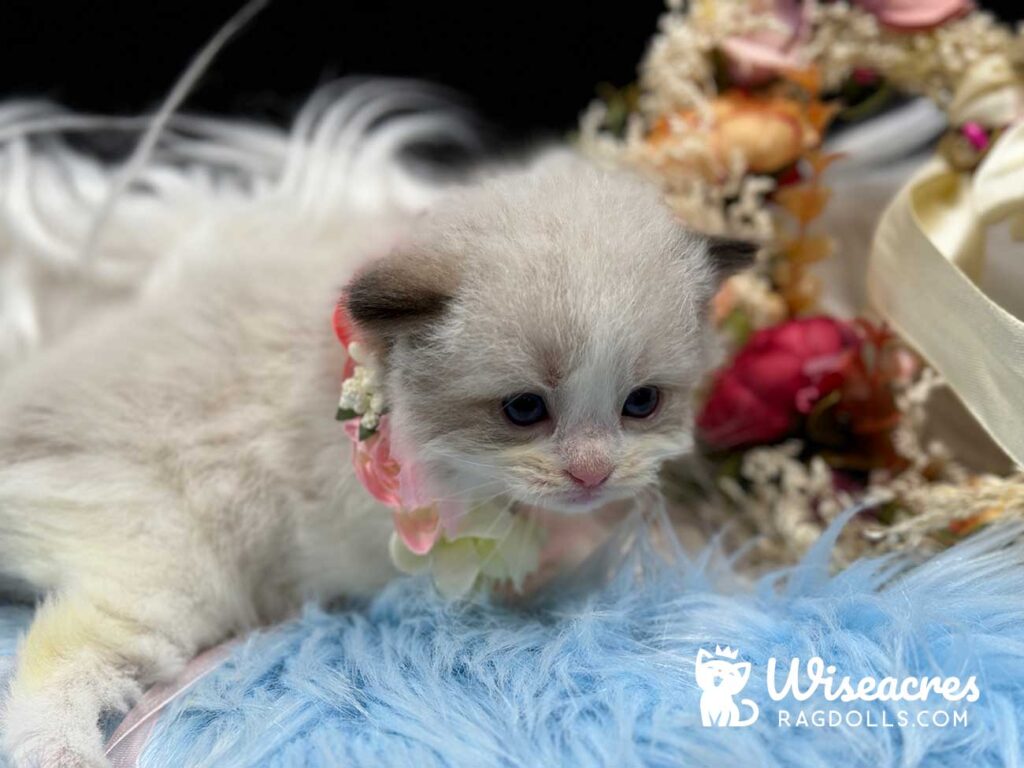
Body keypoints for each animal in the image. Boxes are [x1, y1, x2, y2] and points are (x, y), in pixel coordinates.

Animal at [0, 151, 753, 768]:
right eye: (523, 410)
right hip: (173, 566)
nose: (593, 474)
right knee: (60, 653)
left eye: (642, 403)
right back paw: (59, 752)